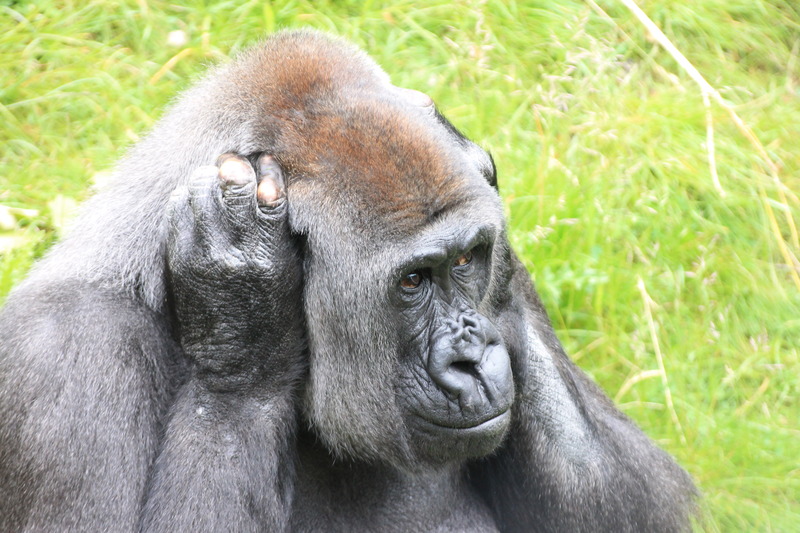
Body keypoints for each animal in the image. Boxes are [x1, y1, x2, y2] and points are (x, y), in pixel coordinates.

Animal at [0, 30, 696, 531]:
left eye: (467, 261)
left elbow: (641, 509)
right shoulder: (67, 356)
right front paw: (241, 314)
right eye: (413, 282)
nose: (472, 360)